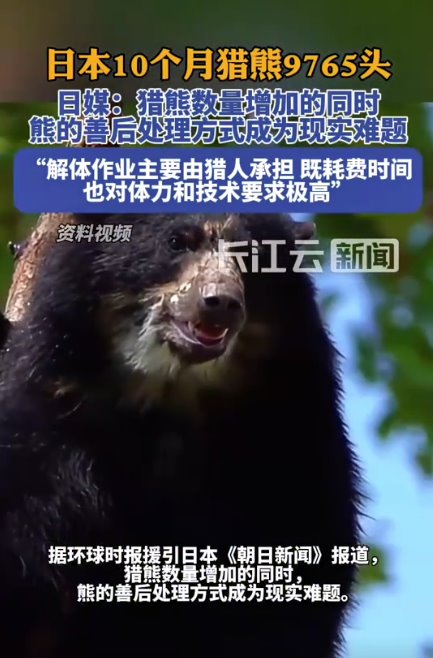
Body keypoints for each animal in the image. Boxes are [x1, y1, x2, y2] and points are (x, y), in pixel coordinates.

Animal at [0, 213, 363, 658]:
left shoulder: (294, 434)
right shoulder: (50, 404)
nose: (221, 302)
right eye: (177, 242)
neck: (169, 393)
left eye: (253, 257)